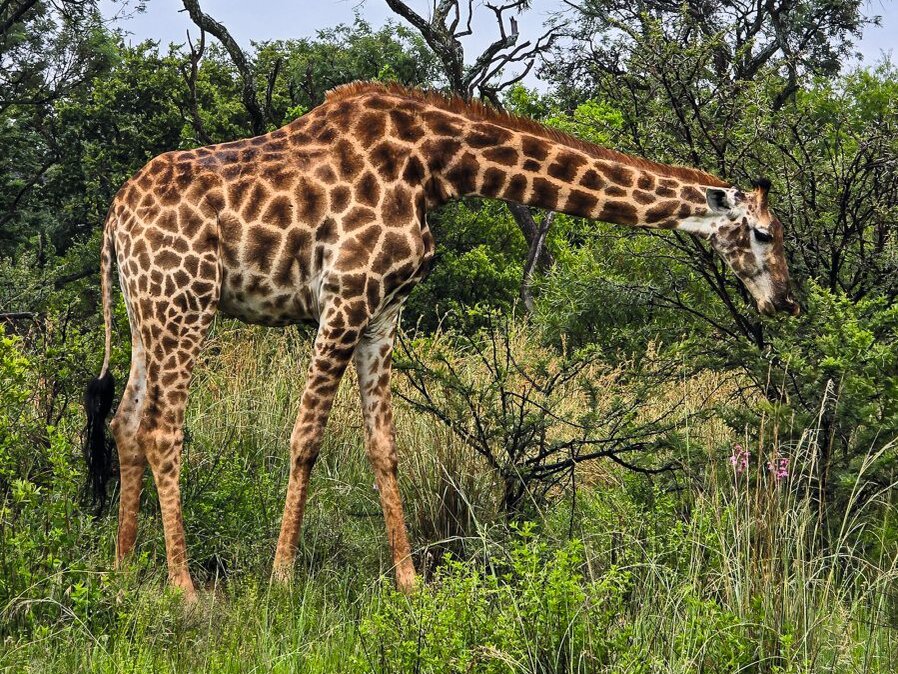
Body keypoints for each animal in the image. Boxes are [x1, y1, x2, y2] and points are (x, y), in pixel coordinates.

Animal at [83, 82, 799, 598]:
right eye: (764, 233)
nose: (786, 302)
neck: (435, 167)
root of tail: (115, 218)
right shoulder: (344, 297)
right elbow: (307, 437)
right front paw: (281, 579)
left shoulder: (383, 311)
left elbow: (383, 445)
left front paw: (408, 583)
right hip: (187, 303)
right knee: (163, 428)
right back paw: (182, 588)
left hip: (149, 310)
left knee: (126, 421)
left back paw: (122, 570)